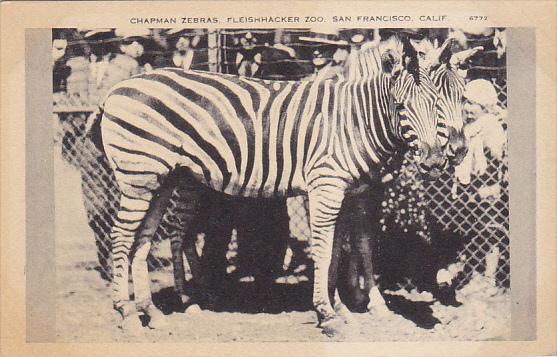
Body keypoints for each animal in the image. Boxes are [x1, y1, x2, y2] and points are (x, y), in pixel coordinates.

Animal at [91, 33, 446, 334]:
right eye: (401, 107)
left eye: (437, 104)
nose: (433, 162)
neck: (355, 120)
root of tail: (115, 90)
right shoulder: (325, 184)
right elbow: (324, 248)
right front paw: (327, 313)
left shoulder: (346, 192)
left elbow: (339, 248)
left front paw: (339, 308)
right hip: (138, 176)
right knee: (121, 236)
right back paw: (128, 313)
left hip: (162, 179)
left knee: (144, 238)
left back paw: (152, 313)